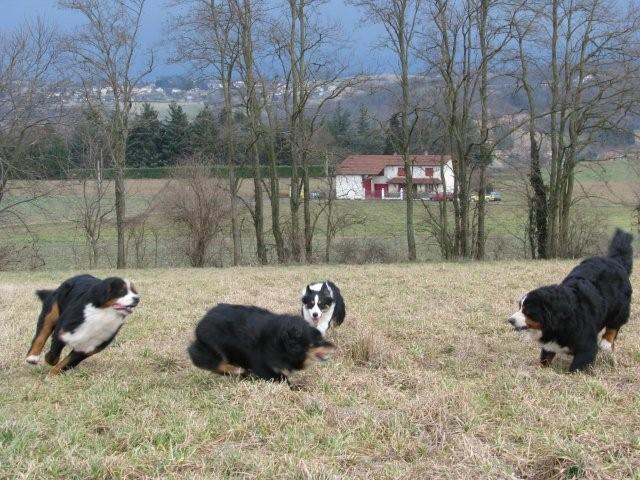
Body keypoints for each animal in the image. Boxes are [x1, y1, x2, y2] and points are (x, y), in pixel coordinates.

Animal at [510, 229, 636, 372]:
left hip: (620, 307)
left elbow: (577, 367)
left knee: (614, 326)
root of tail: (614, 261)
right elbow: (545, 359)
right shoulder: (550, 345)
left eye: (527, 311)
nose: (510, 320)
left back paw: (606, 343)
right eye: (520, 307)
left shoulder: (585, 346)